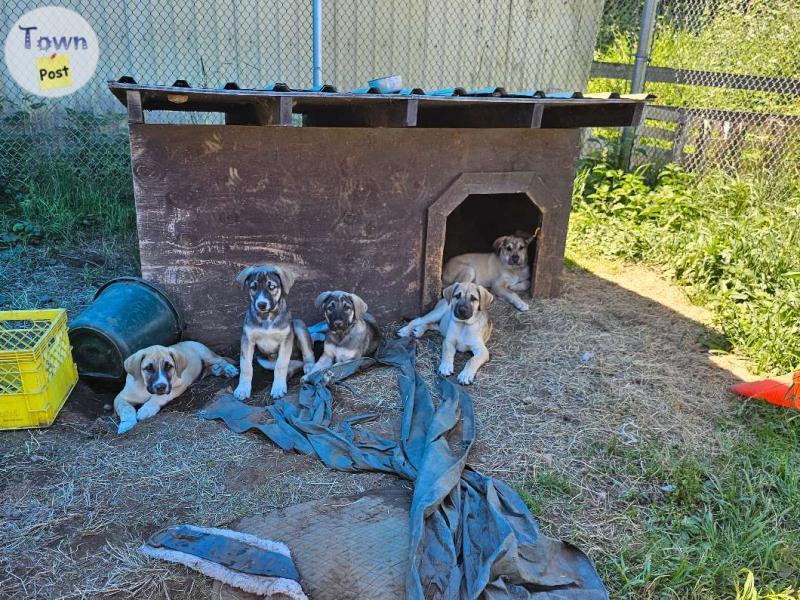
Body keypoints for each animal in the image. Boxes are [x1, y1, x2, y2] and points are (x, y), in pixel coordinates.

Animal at [233, 264, 314, 400]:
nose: (261, 304)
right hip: (262, 359)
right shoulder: (247, 339)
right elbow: (246, 367)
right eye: (253, 287)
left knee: (307, 355)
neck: (267, 317)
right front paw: (243, 389)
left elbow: (281, 365)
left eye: (271, 287)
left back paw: (310, 368)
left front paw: (278, 387)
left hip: (298, 324)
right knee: (293, 364)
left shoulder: (286, 339)